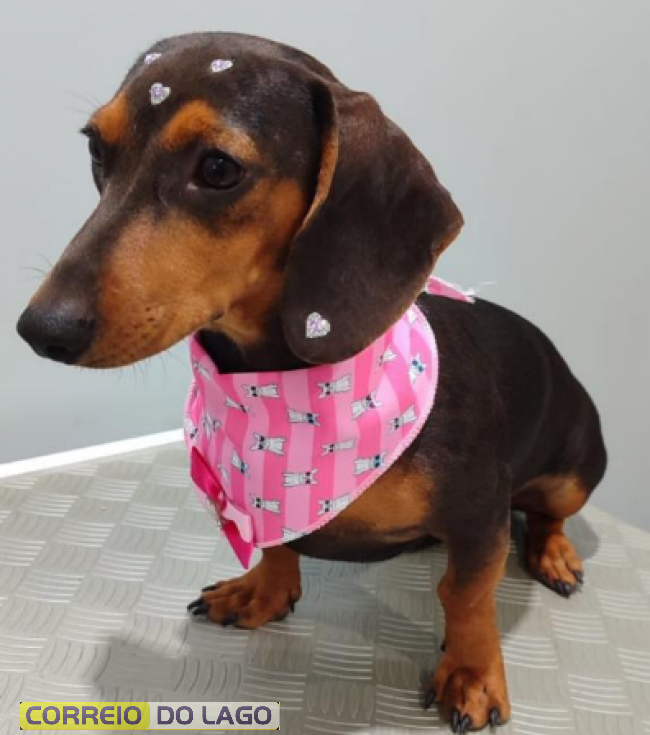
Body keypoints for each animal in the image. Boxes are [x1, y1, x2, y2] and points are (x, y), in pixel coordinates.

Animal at [16, 33, 606, 733]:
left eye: (218, 168)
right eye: (95, 150)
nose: (40, 330)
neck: (280, 387)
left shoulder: (480, 510)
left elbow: (465, 594)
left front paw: (471, 673)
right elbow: (276, 548)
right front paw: (263, 591)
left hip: (576, 469)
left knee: (548, 513)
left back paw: (553, 552)